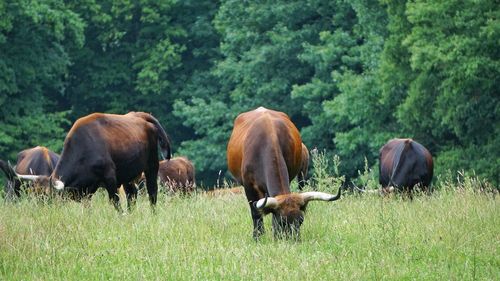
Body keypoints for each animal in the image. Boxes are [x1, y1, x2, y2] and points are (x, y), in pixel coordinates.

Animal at [8, 111, 170, 210]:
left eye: (49, 197)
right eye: (35, 194)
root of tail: (139, 115)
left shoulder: (110, 177)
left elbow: (115, 201)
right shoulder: (87, 189)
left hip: (152, 166)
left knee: (152, 192)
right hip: (128, 174)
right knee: (132, 195)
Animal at [226, 106, 340, 238]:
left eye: (301, 221)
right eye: (282, 221)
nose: (293, 240)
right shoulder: (248, 186)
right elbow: (256, 213)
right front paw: (258, 236)